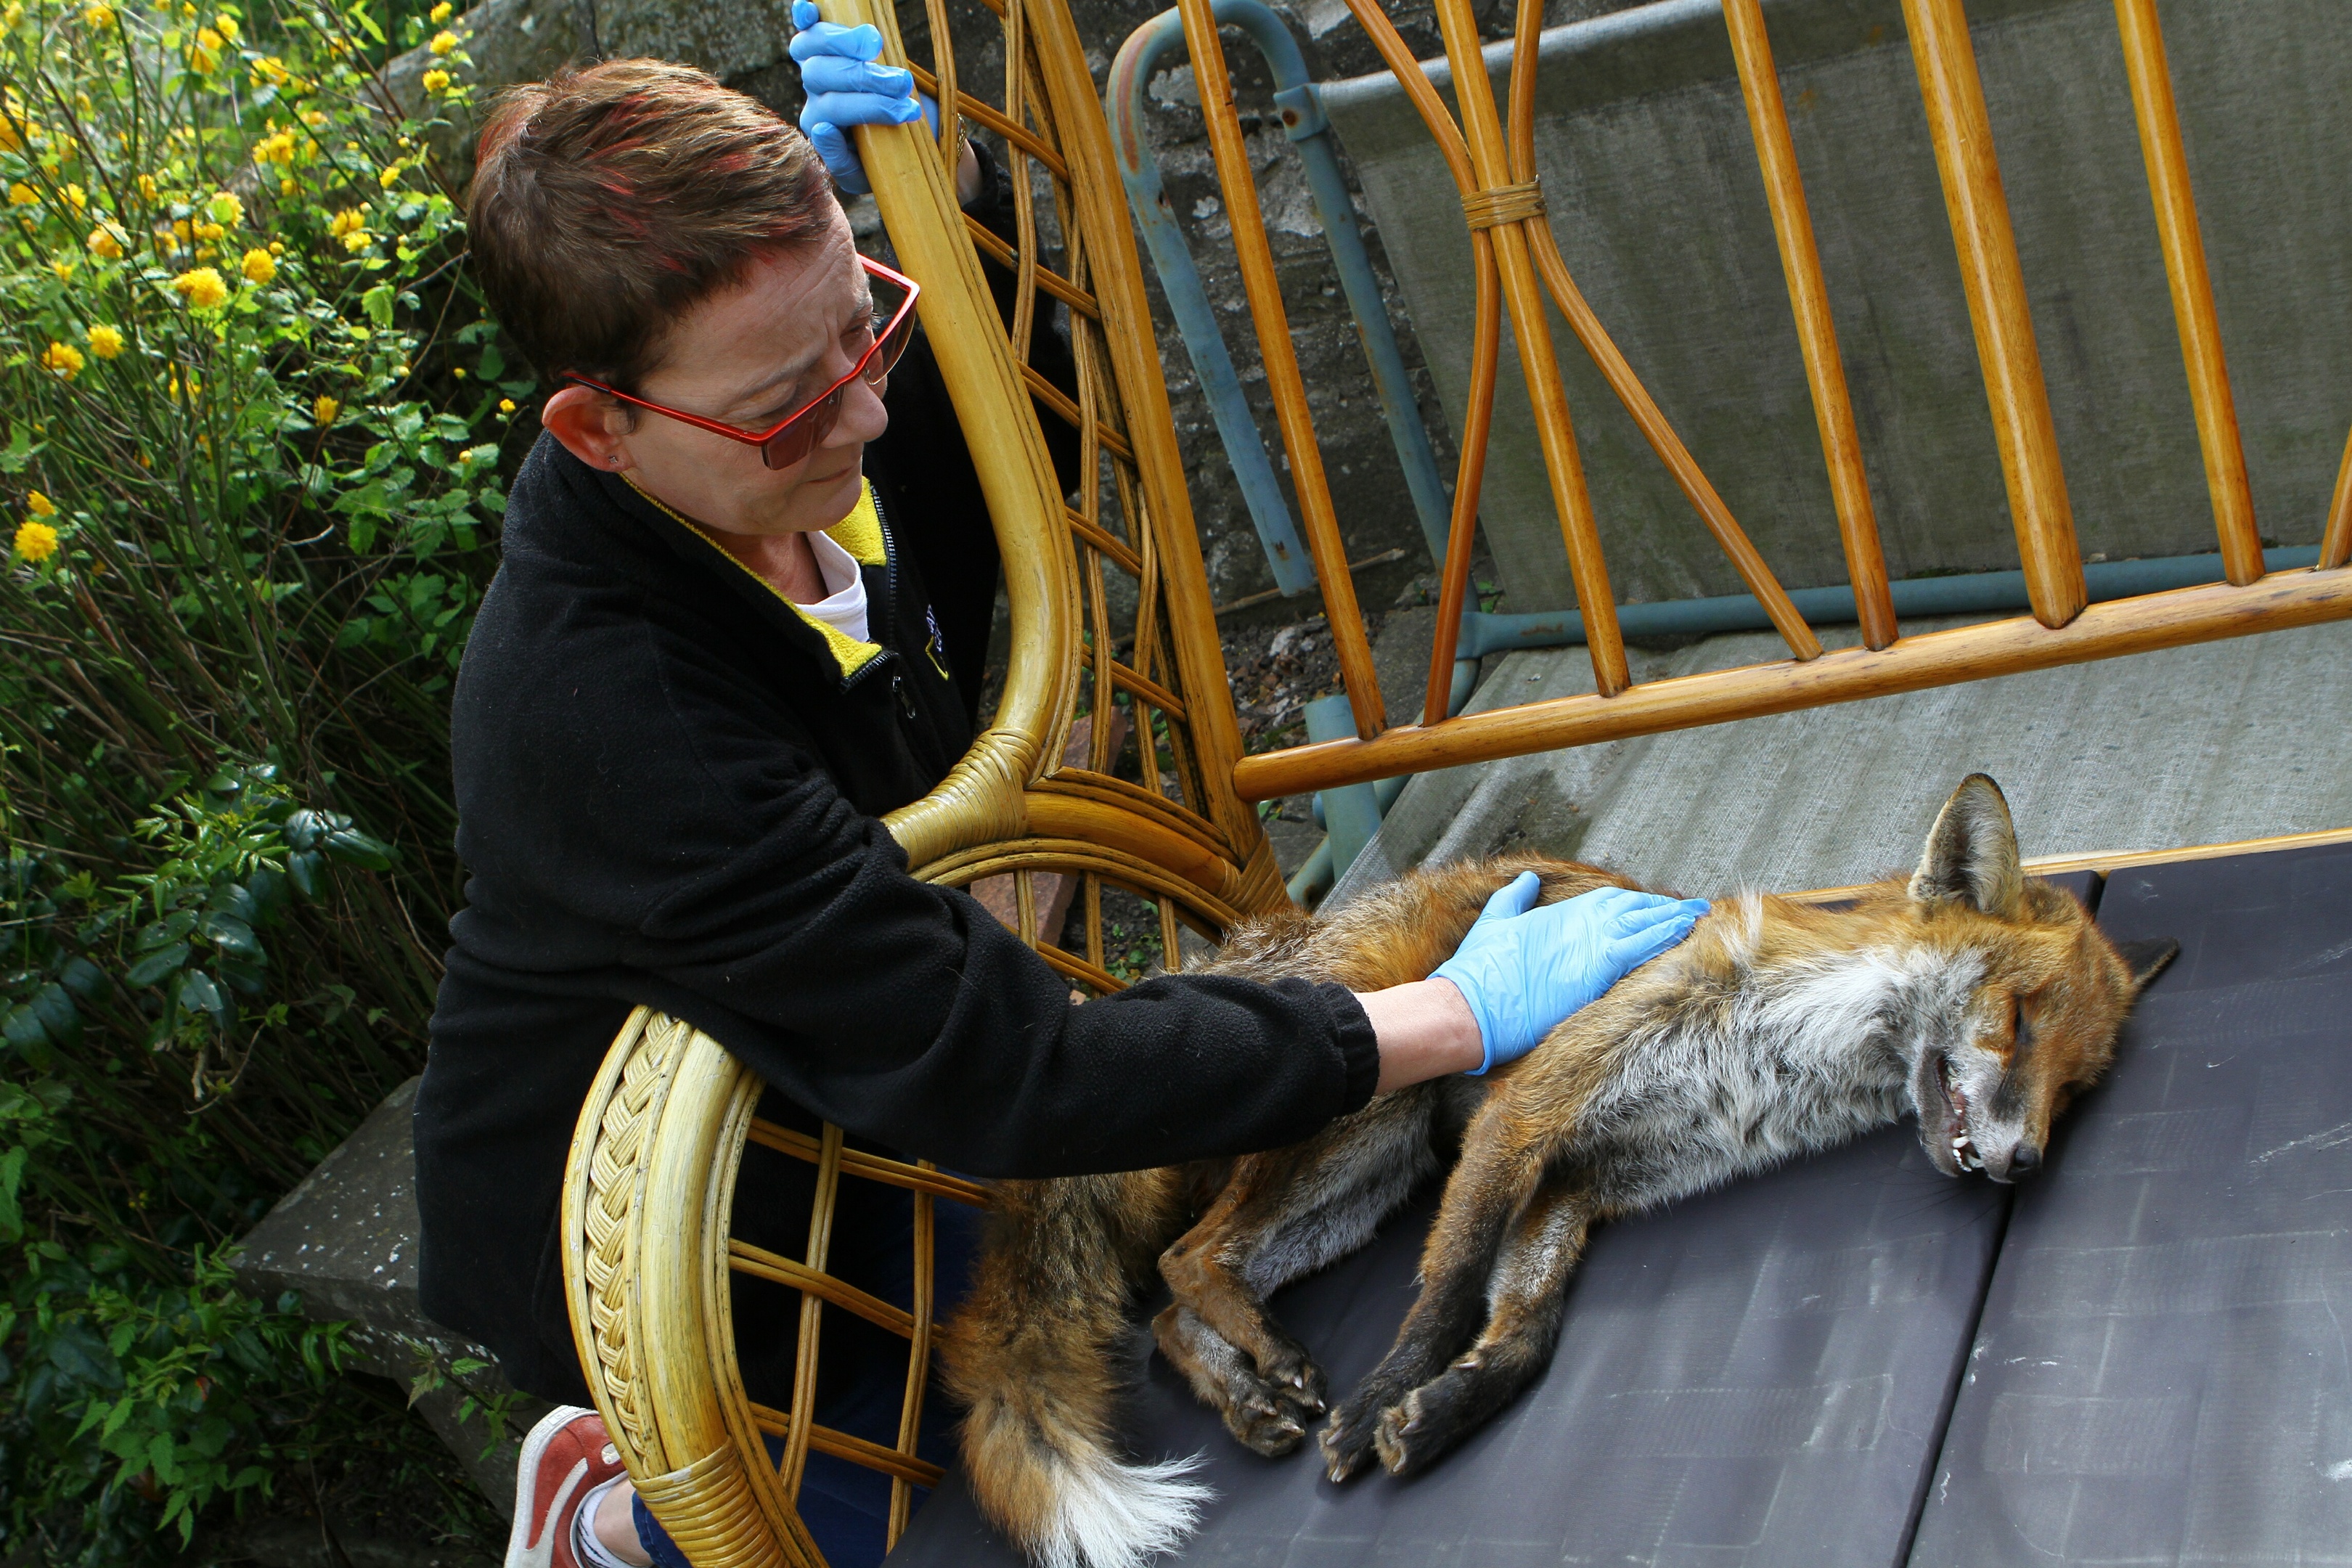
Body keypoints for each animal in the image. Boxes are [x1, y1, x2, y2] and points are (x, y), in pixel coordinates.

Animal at [931, 775, 2163, 1568]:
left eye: (2077, 1087)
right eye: (2020, 1019)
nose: (2023, 1161)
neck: (1785, 1061)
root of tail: (1237, 955)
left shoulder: (1581, 1184)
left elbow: (1522, 1336)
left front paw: (1436, 1416)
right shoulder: (1525, 1117)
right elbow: (1443, 1300)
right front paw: (1377, 1406)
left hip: (1369, 1183)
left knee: (1169, 1310)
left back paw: (1249, 1394)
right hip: (1370, 1108)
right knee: (1189, 1259)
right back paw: (1273, 1366)